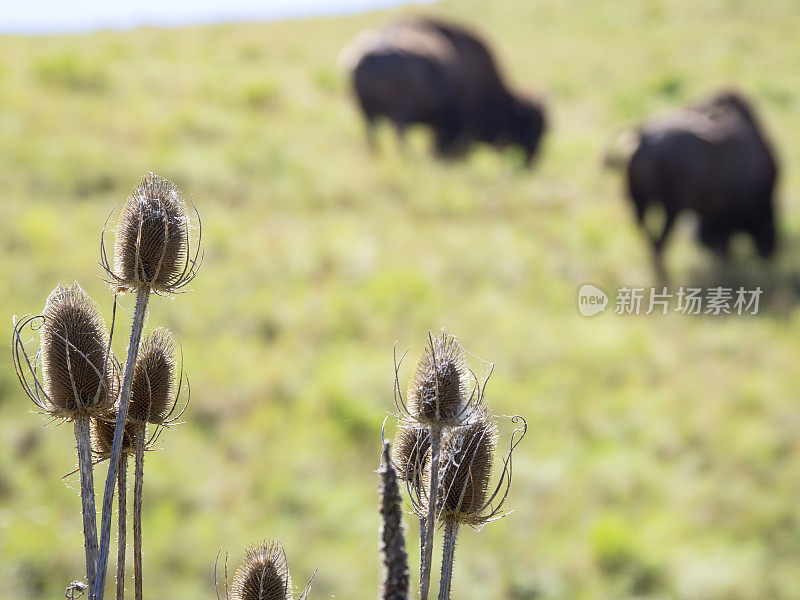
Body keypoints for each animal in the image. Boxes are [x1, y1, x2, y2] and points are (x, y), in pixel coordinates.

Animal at [340, 17, 548, 165]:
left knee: (372, 134)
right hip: (400, 112)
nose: (531, 162)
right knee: (399, 133)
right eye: (533, 126)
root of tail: (367, 55)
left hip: (367, 110)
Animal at [608, 89, 780, 282]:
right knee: (660, 244)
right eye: (767, 220)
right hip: (671, 210)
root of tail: (642, 137)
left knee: (650, 240)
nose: (770, 250)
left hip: (639, 205)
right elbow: (725, 247)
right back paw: (666, 280)